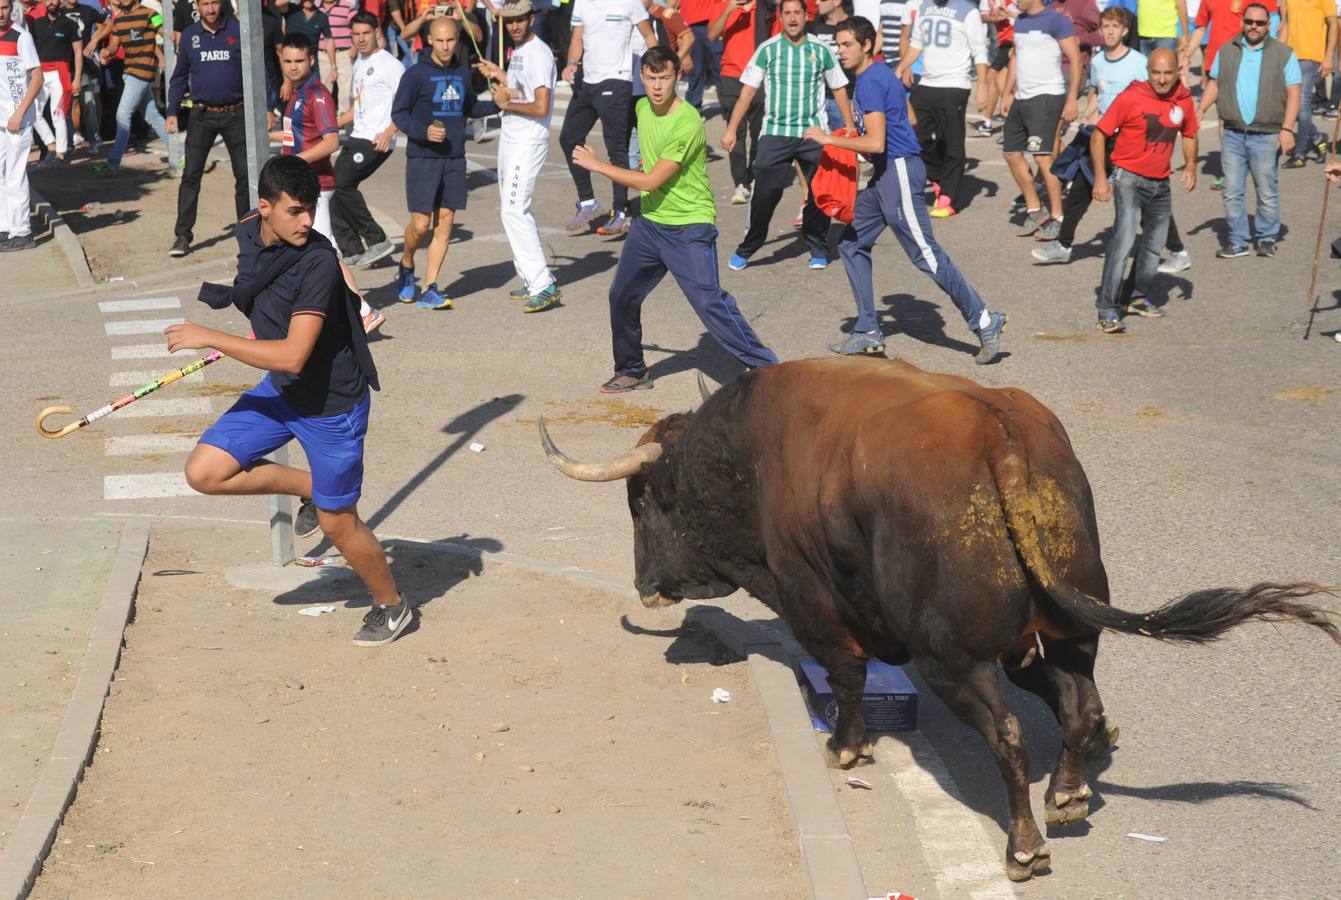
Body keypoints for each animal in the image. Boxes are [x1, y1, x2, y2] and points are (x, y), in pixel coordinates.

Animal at [539, 356, 1335, 879]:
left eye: (644, 501)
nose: (644, 585)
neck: (750, 454)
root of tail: (1001, 437)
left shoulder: (812, 602)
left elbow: (847, 676)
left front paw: (847, 748)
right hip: (1069, 629)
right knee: (1075, 703)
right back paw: (1068, 795)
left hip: (950, 659)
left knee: (1008, 736)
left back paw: (1024, 847)